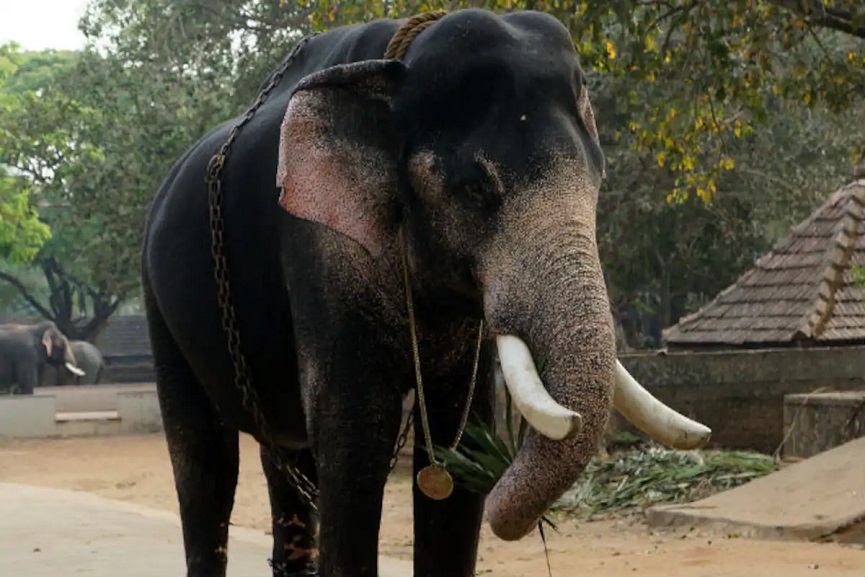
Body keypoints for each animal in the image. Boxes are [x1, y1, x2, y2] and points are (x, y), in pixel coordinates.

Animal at [140, 9, 711, 577]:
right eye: (475, 189)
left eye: (598, 180)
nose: (508, 501)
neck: (397, 71)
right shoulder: (319, 250)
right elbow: (355, 437)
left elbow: (462, 432)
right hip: (158, 303)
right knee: (204, 464)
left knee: (284, 458)